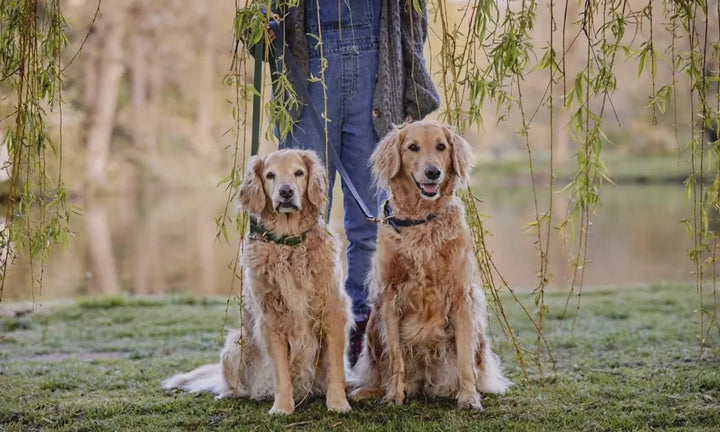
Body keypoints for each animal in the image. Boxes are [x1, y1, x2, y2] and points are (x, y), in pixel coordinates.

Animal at [166, 149, 352, 416]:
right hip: (235, 345)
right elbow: (281, 372)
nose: (286, 192)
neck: (289, 243)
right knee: (232, 385)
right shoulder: (270, 320)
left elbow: (335, 367)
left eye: (299, 172)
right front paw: (282, 407)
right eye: (270, 175)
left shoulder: (332, 312)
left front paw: (338, 404)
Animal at [350, 120, 512, 408]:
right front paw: (394, 396)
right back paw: (369, 390)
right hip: (373, 325)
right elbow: (395, 358)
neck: (421, 221)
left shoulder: (461, 296)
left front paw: (469, 398)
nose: (433, 172)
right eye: (413, 147)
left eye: (441, 146)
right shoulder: (389, 296)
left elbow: (464, 360)